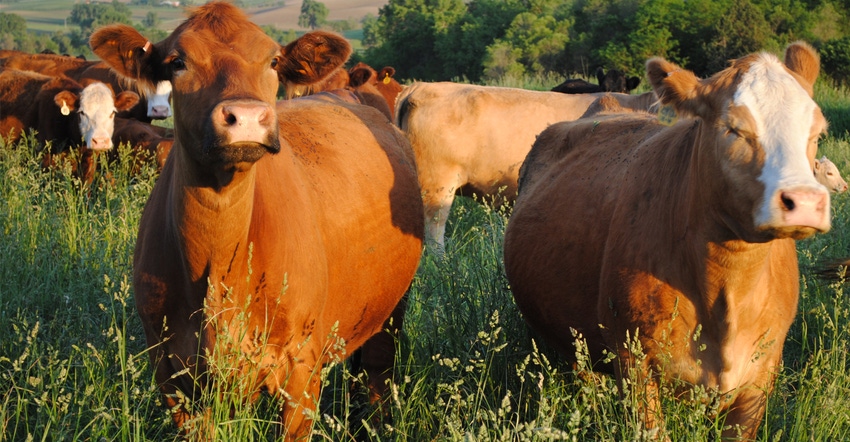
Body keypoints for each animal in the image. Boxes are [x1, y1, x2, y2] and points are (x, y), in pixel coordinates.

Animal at [88, 2, 424, 438]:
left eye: (274, 61)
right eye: (178, 62)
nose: (246, 116)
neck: (217, 264)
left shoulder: (301, 367)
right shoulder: (171, 373)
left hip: (393, 306)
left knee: (377, 370)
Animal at [504, 41, 828, 438]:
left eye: (817, 133)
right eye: (733, 129)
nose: (806, 201)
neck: (726, 291)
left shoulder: (761, 374)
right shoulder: (634, 362)